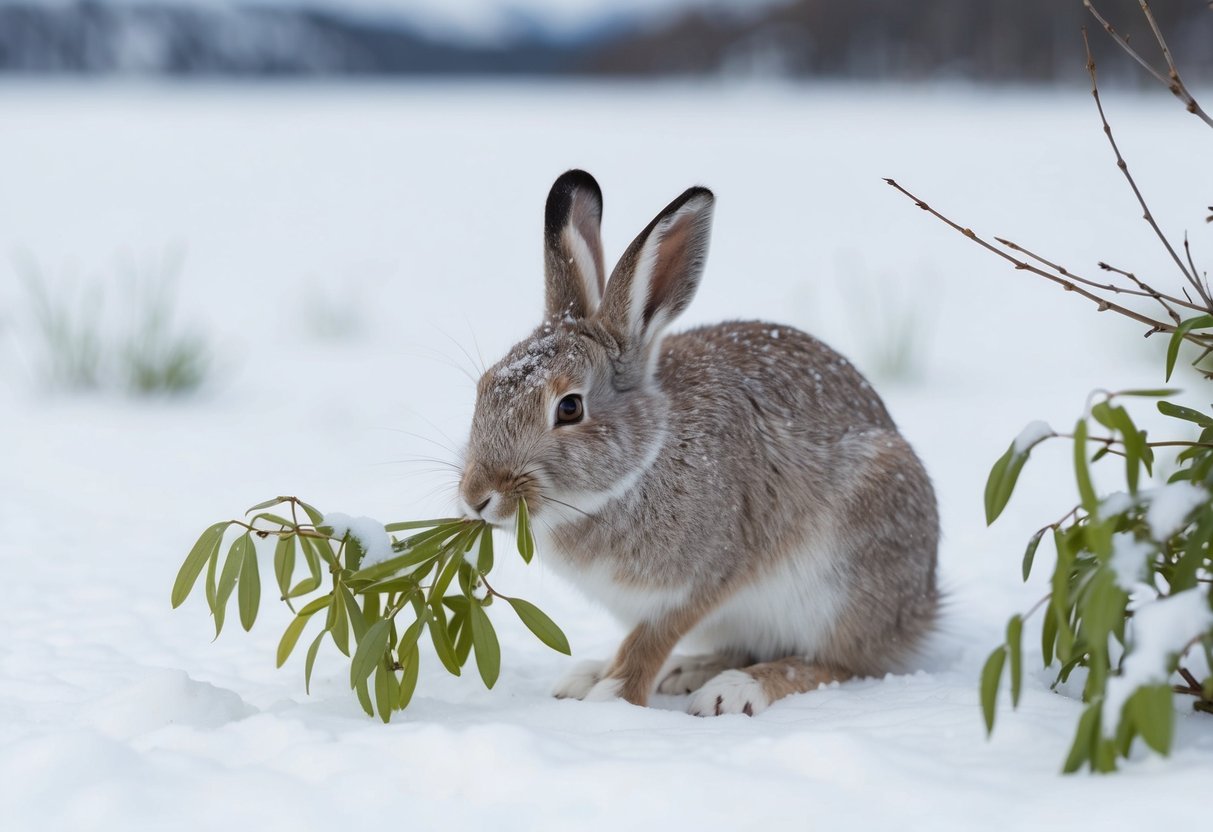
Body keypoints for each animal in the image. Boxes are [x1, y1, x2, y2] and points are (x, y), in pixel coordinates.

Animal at [458, 169, 939, 716]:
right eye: (484, 386)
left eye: (569, 408)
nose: (476, 497)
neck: (639, 469)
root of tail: (923, 607)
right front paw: (591, 680)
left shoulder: (704, 579)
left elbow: (649, 640)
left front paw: (613, 698)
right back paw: (686, 671)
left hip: (842, 582)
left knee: (839, 664)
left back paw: (734, 690)